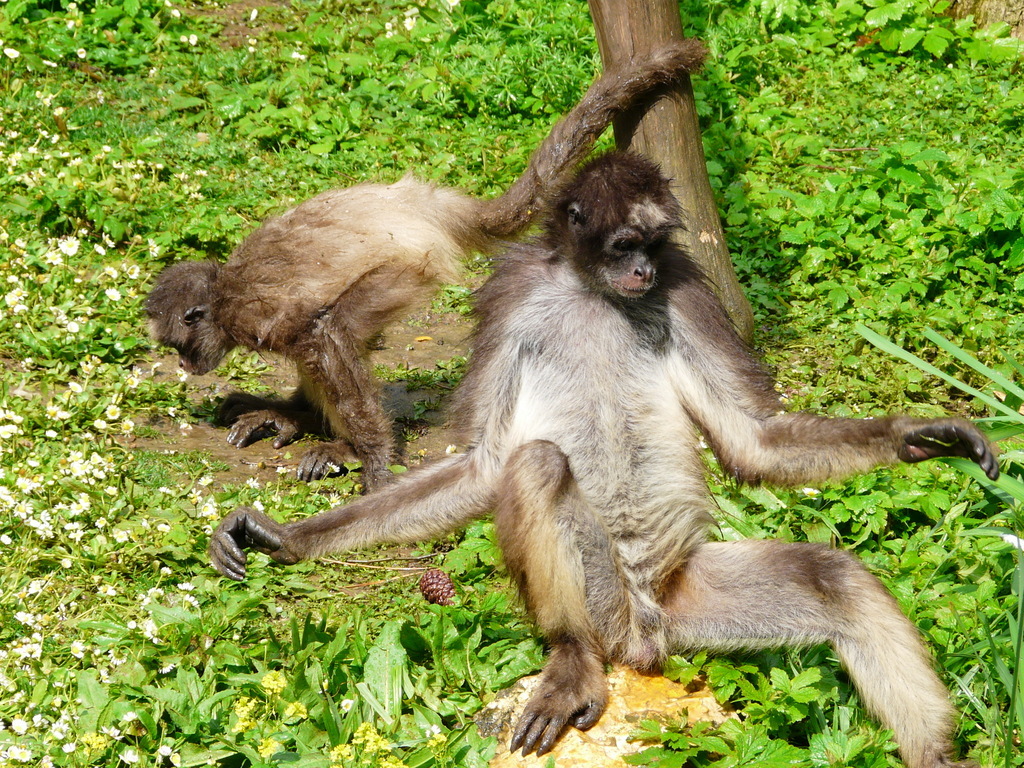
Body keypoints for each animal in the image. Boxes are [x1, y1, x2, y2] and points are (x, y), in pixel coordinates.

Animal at [142, 39, 704, 489]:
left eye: (178, 344)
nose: (185, 366)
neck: (222, 293)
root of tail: (419, 205)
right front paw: (290, 416)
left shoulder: (250, 316)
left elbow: (323, 343)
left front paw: (368, 457)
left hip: (408, 268)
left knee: (336, 330)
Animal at [207, 151, 999, 768]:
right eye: (622, 244)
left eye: (652, 243)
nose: (642, 269)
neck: (593, 294)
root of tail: (643, 636)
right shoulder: (514, 291)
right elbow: (485, 464)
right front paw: (287, 538)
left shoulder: (683, 283)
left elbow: (753, 441)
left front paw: (921, 437)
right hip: (604, 600)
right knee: (537, 466)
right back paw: (573, 660)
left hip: (688, 600)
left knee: (833, 578)